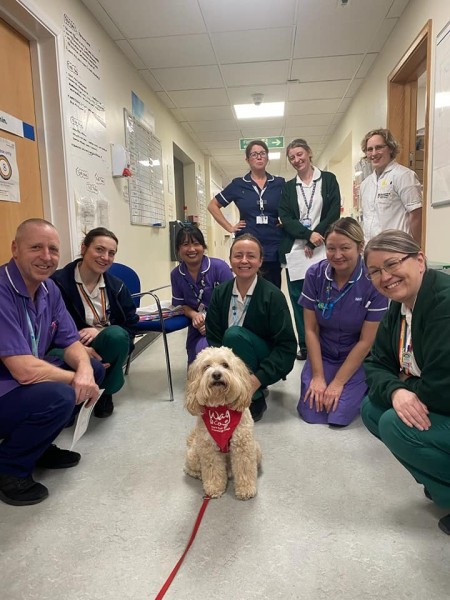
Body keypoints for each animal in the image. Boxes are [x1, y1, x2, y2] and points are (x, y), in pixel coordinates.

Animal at [183, 344, 260, 500]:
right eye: (206, 367)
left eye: (225, 365)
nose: (216, 374)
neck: (220, 406)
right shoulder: (209, 449)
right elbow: (212, 469)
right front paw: (214, 487)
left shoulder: (243, 447)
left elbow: (244, 469)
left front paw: (246, 489)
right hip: (193, 454)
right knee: (190, 469)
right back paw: (199, 475)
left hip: (256, 450)